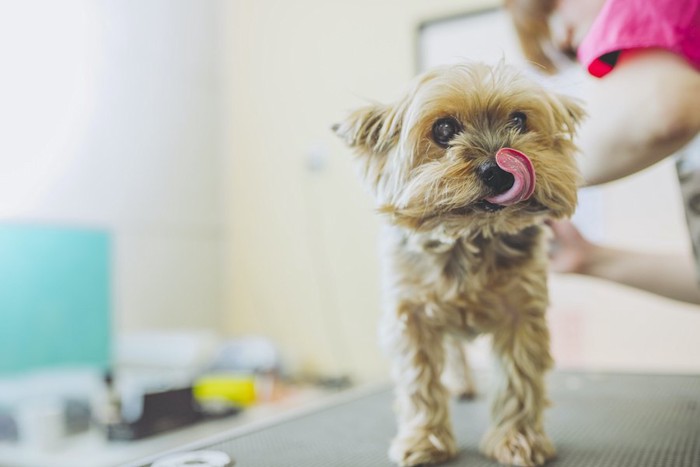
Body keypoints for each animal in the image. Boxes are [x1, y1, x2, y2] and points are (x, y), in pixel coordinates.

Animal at [334, 63, 584, 467]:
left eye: (519, 119)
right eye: (444, 129)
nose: (498, 170)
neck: (468, 236)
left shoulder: (521, 312)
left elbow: (519, 378)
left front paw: (518, 439)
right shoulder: (411, 316)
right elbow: (419, 381)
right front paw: (425, 439)